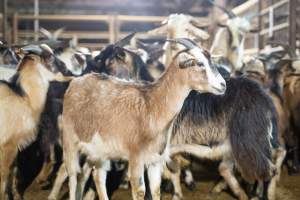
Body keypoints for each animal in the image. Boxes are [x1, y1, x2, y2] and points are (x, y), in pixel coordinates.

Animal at [0, 44, 72, 200]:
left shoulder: (13, 147)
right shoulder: (7, 146)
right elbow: (3, 177)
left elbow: (12, 172)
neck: (24, 99)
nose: (69, 71)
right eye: (50, 57)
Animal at [61, 38, 225, 200]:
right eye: (199, 63)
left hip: (99, 150)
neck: (152, 105)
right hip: (70, 140)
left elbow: (156, 190)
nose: (223, 85)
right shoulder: (135, 157)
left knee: (98, 176)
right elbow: (140, 191)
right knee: (73, 176)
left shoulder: (155, 160)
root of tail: (76, 82)